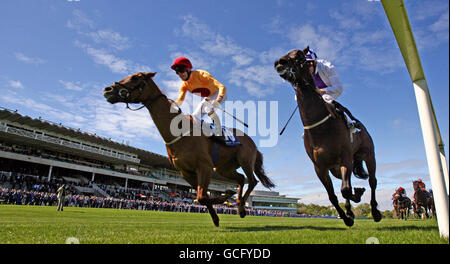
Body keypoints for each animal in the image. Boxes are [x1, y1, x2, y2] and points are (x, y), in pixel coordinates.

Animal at [272, 48, 382, 226]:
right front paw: (347, 216)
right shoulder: (320, 167)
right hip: (337, 168)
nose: (279, 63)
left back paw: (375, 212)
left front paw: (353, 210)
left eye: (299, 55)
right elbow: (333, 195)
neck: (320, 128)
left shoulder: (345, 157)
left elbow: (345, 190)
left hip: (368, 154)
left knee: (372, 181)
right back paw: (352, 206)